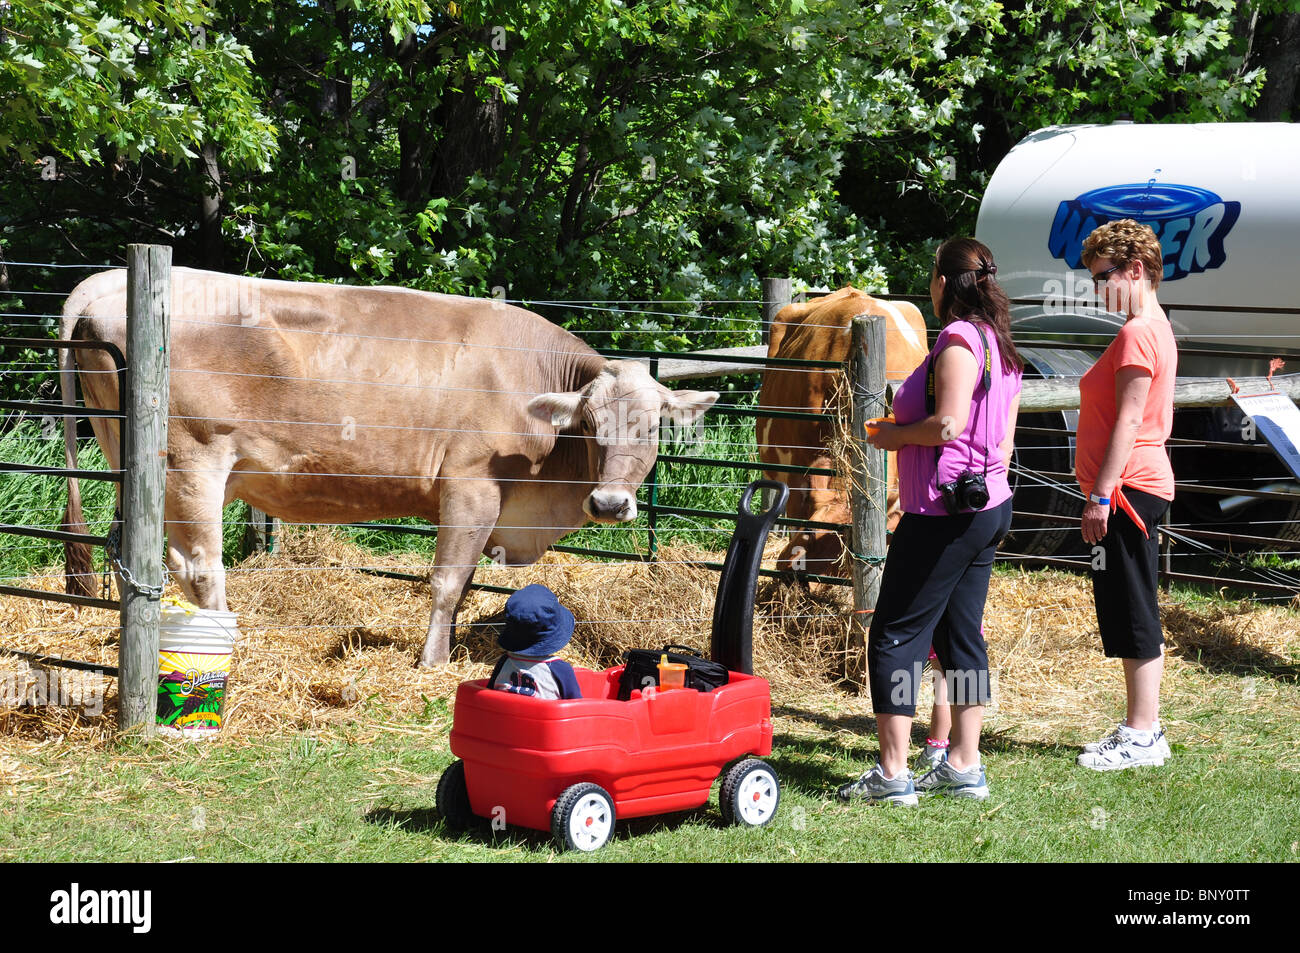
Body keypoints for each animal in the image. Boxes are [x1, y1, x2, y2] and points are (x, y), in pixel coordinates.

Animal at [60, 268, 718, 667]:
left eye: (654, 424)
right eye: (589, 422)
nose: (609, 503)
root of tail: (107, 282)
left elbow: (466, 582)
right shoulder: (470, 488)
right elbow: (448, 580)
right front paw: (432, 662)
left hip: (141, 470)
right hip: (192, 463)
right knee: (201, 568)